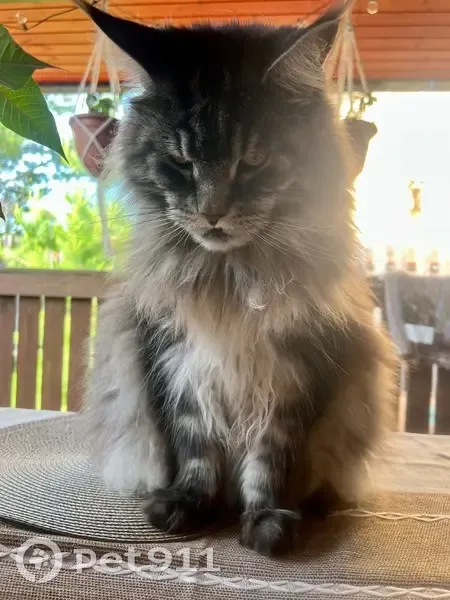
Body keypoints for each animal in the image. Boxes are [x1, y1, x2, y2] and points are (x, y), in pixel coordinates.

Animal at [78, 0, 397, 556]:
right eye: (180, 162)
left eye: (254, 161)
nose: (212, 213)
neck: (229, 279)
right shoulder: (176, 354)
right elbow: (194, 442)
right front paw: (187, 505)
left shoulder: (296, 368)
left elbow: (271, 457)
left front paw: (268, 521)